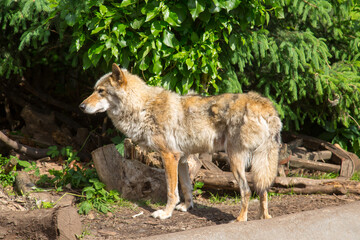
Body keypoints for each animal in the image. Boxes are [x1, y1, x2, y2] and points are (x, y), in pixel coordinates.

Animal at [80, 63, 282, 221]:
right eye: (94, 90)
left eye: (101, 92)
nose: (81, 106)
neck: (142, 108)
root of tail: (266, 105)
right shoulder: (183, 159)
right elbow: (186, 186)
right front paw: (186, 207)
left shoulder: (169, 156)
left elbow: (171, 191)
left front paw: (165, 214)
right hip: (259, 161)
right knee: (263, 189)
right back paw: (264, 217)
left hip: (235, 160)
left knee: (246, 190)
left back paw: (240, 219)